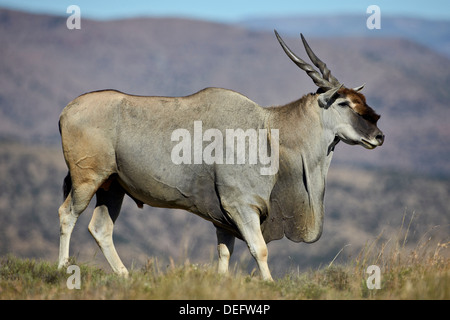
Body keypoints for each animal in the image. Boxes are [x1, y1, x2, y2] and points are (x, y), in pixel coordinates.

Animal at [57, 31, 384, 280]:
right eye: (344, 103)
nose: (379, 136)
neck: (270, 131)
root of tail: (67, 110)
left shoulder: (223, 219)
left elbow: (224, 253)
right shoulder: (241, 207)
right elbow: (259, 249)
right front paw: (268, 284)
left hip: (112, 187)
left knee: (100, 229)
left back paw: (124, 276)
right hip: (87, 180)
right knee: (67, 214)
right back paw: (63, 270)